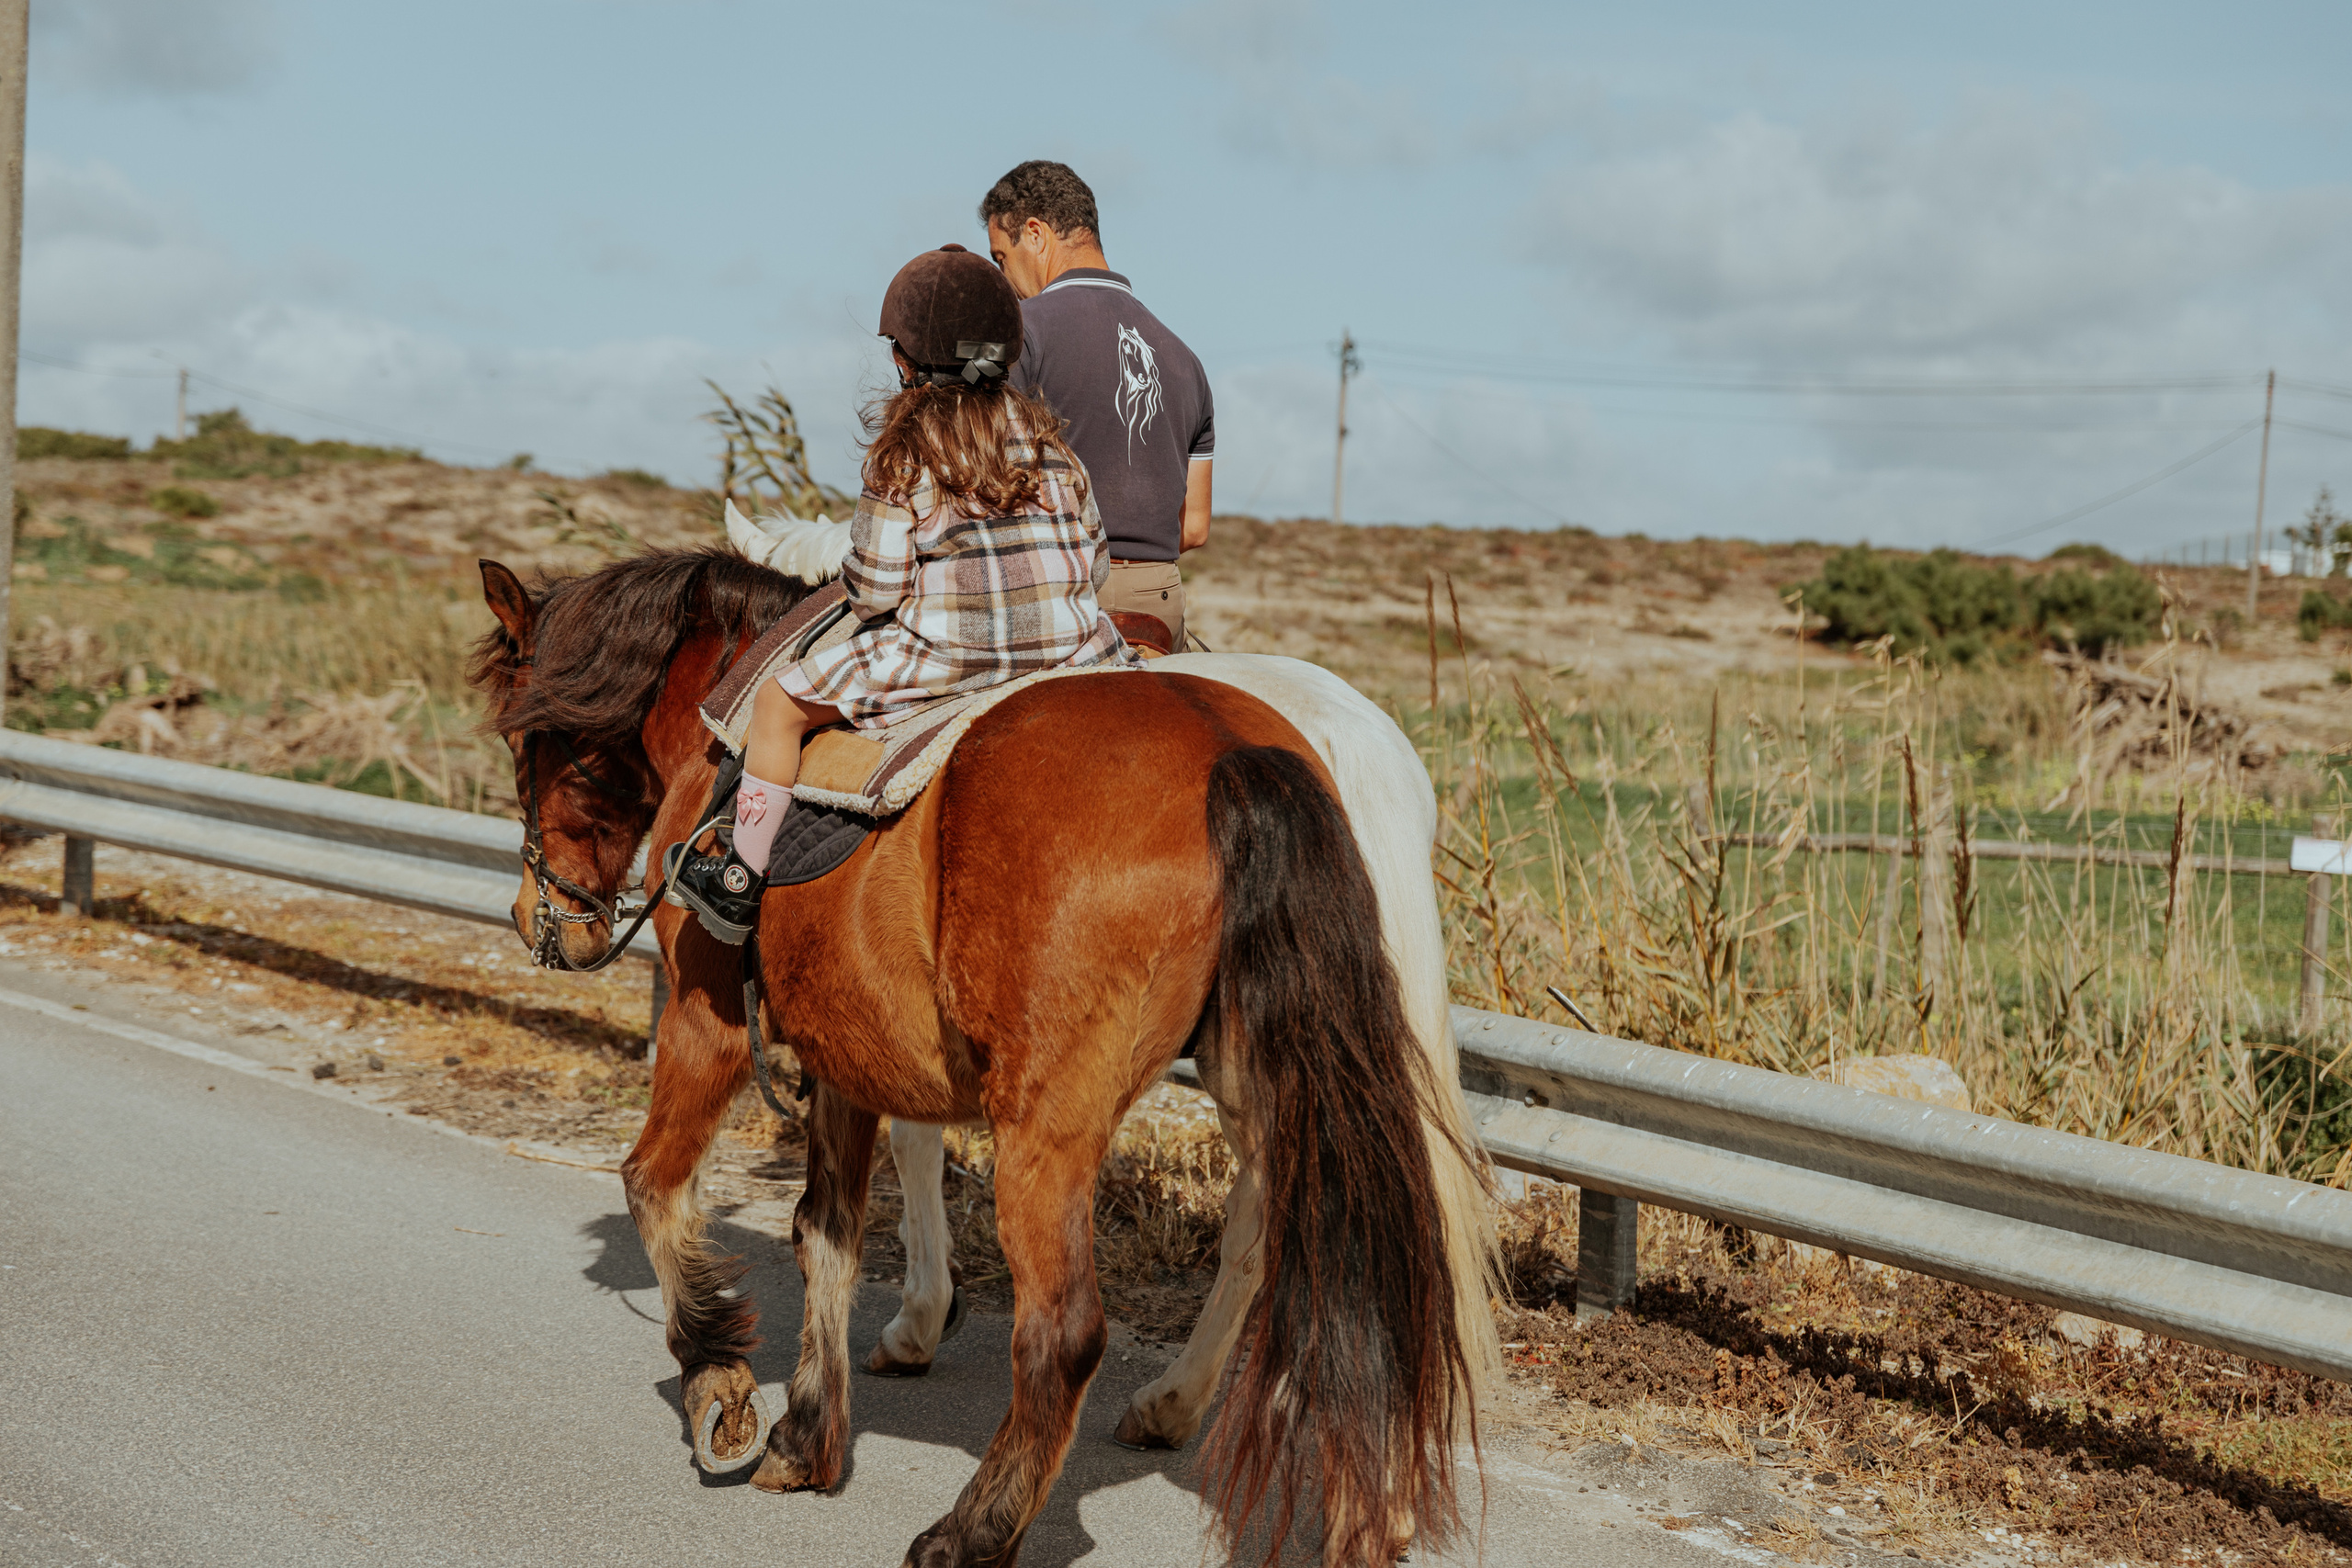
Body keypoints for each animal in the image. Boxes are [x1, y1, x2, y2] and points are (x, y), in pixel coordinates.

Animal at [470, 547, 1488, 1567]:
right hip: (1276, 1068)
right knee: (1325, 1241)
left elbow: (654, 1180)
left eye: (521, 745)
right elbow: (824, 1232)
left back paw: (976, 1527)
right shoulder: (846, 1050)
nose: (535, 920)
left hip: (1050, 1117)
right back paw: (1349, 1496)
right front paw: (808, 1433)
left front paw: (719, 1381)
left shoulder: (705, 1014)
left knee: (1066, 1331)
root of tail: (1237, 748)